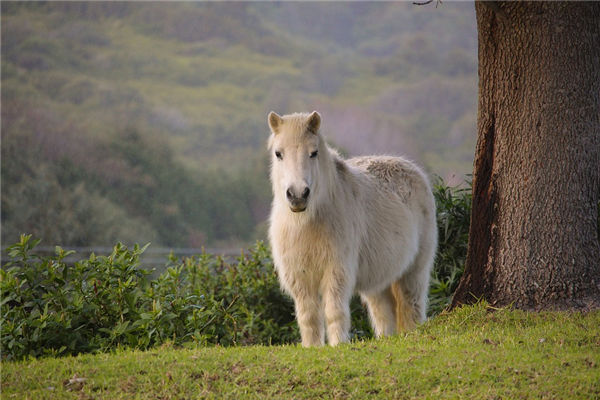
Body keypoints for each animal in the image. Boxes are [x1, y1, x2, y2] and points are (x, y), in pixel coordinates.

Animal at [268, 111, 436, 346]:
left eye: (313, 153)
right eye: (278, 153)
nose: (298, 195)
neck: (306, 223)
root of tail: (413, 169)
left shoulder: (336, 271)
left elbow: (334, 311)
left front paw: (338, 344)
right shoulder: (300, 277)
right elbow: (308, 317)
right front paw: (312, 347)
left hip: (414, 272)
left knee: (412, 306)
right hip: (379, 282)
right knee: (384, 314)